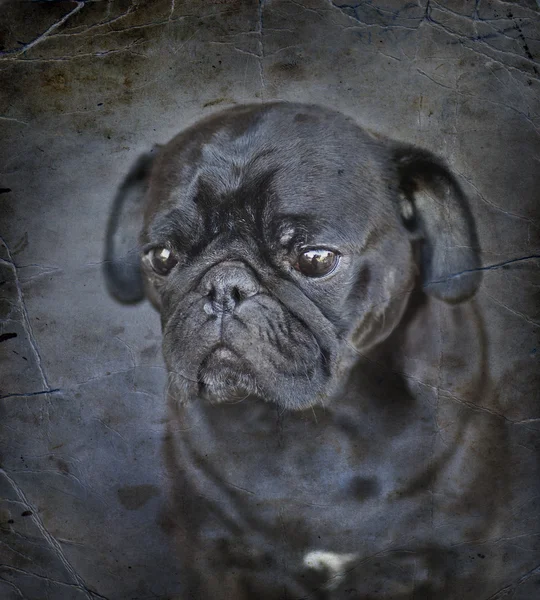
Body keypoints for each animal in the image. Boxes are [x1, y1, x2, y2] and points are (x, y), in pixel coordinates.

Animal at [104, 102, 506, 596]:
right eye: (160, 257)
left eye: (315, 259)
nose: (223, 288)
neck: (316, 428)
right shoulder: (214, 557)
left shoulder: (463, 559)